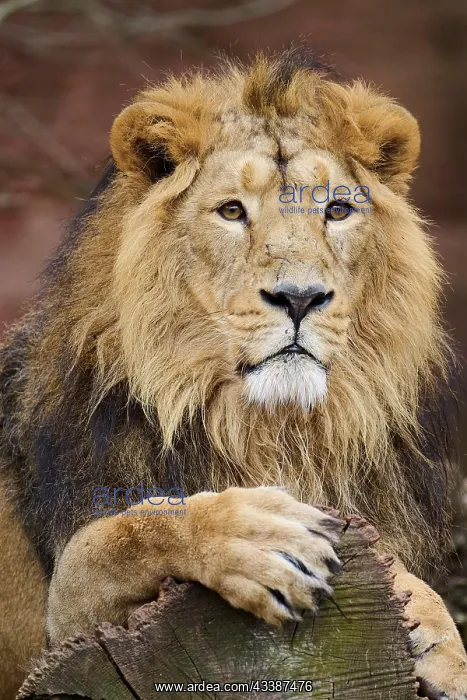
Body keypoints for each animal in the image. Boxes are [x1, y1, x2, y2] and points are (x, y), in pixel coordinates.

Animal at [0, 48, 466, 699]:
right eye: (231, 211)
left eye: (338, 209)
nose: (299, 297)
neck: (262, 427)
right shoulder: (62, 636)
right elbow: (120, 532)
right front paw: (259, 534)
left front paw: (438, 637)